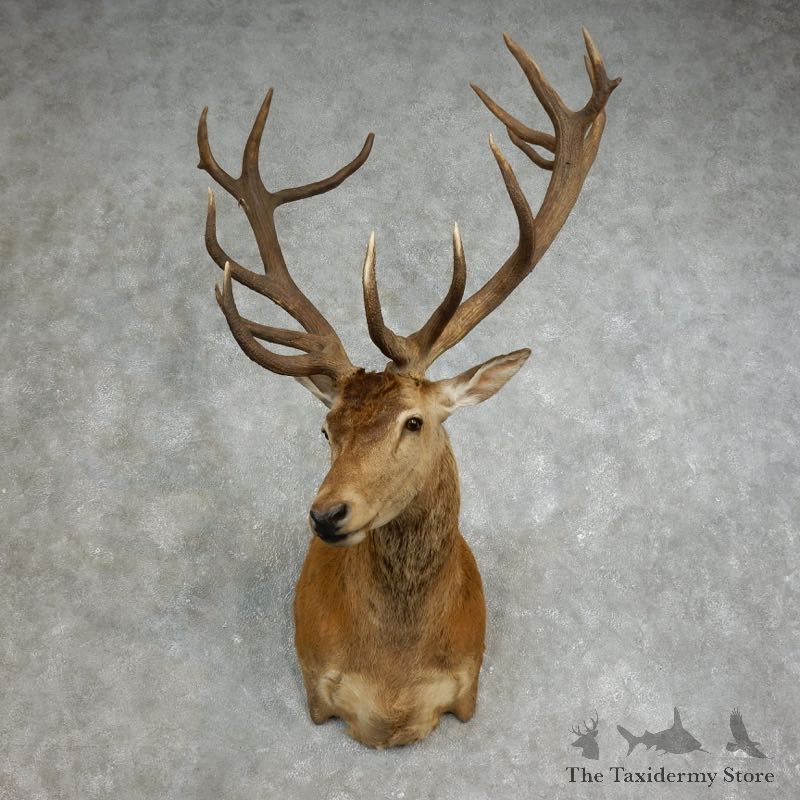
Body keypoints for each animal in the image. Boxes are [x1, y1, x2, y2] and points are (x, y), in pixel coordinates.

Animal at [197, 29, 619, 748]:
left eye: (414, 421)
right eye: (326, 428)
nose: (326, 514)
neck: (395, 681)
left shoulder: (468, 685)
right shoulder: (317, 691)